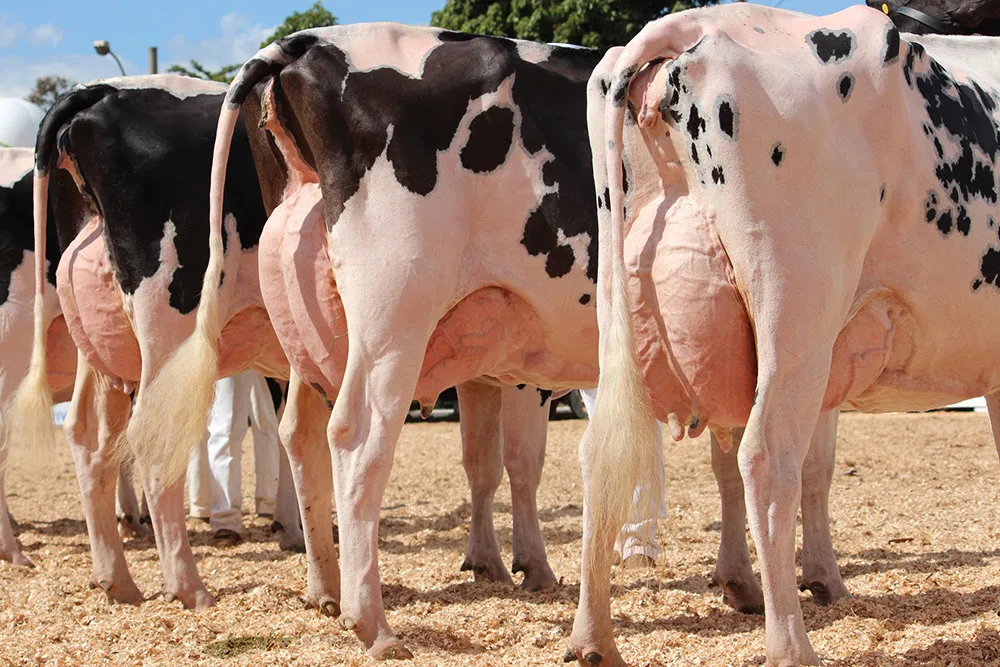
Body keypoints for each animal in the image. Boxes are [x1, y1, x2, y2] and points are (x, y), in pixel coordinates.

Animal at [175, 24, 854, 659]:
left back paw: (324, 587)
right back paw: (371, 623)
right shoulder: (809, 343)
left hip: (312, 340)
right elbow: (807, 467)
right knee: (356, 438)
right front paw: (821, 578)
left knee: (303, 434)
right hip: (393, 313)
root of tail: (304, 42)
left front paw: (740, 580)